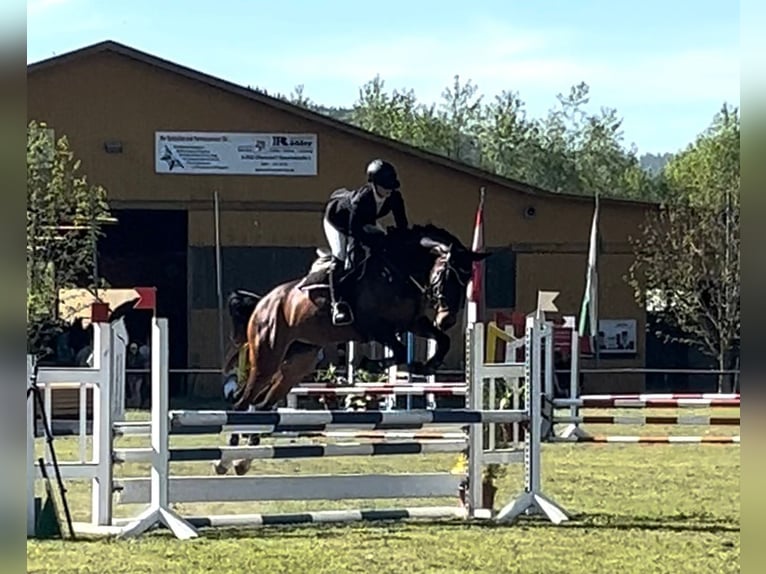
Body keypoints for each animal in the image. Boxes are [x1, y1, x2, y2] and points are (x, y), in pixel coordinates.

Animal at [214, 223, 492, 474]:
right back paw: (225, 460)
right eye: (446, 276)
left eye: (467, 280)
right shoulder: (377, 328)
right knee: (242, 402)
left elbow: (440, 341)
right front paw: (372, 364)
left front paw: (427, 365)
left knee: (262, 406)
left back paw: (244, 460)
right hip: (267, 355)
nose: (447, 320)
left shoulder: (412, 323)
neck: (399, 270)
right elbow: (399, 351)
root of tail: (263, 302)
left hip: (297, 363)